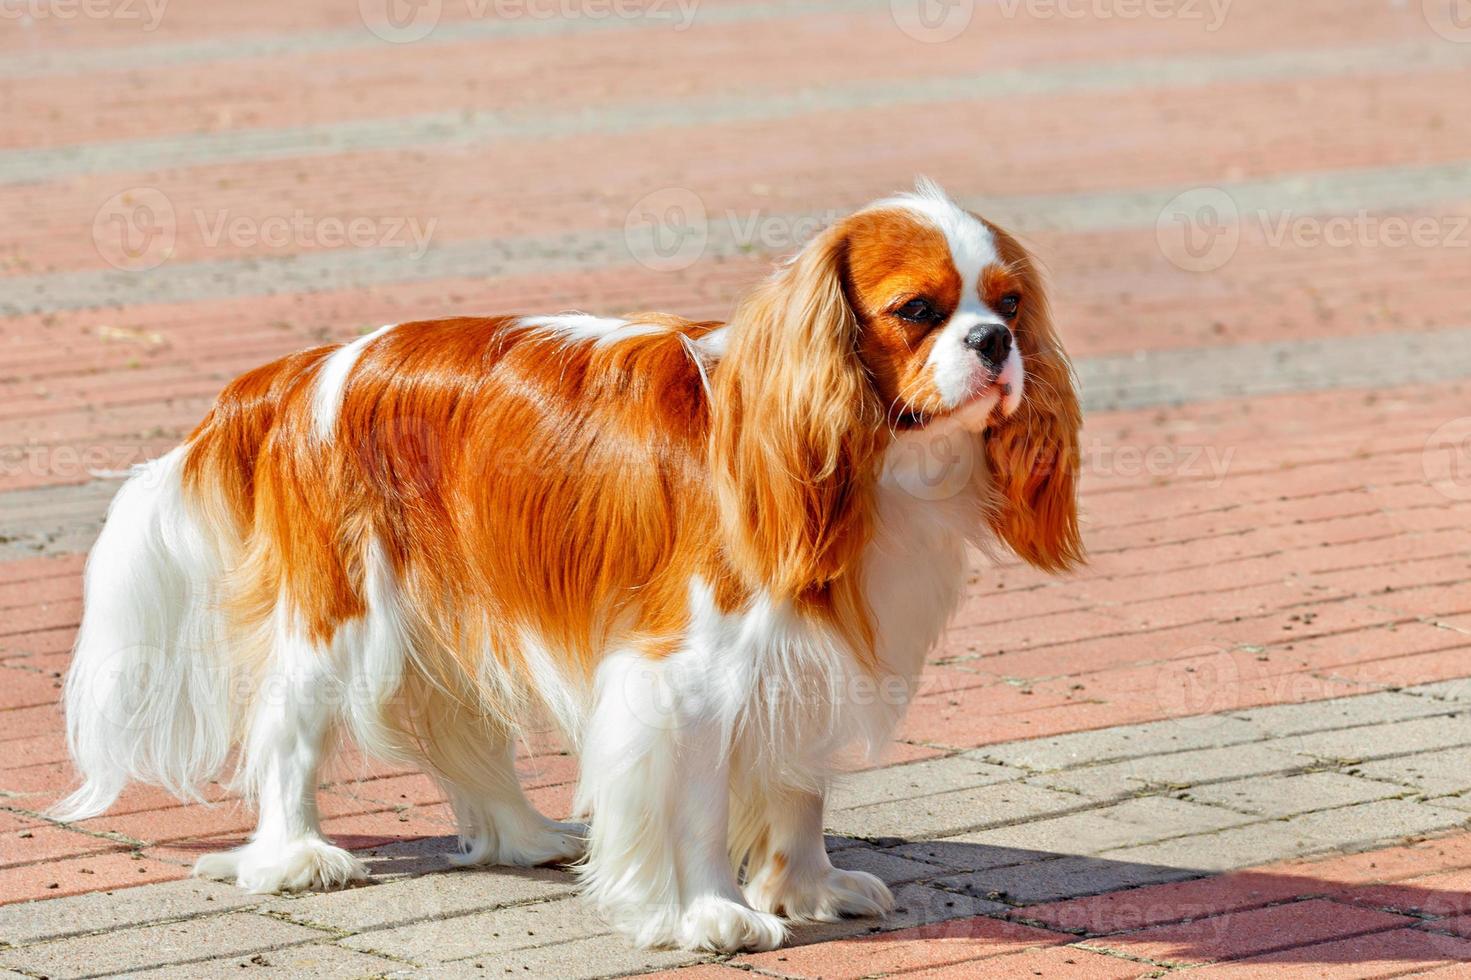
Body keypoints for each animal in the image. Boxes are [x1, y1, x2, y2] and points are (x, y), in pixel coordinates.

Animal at [54, 179, 1082, 947]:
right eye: (917, 311)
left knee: (457, 732)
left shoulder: (802, 656)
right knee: (287, 735)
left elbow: (797, 786)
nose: (993, 342)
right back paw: (295, 858)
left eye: (1010, 304)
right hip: (338, 616)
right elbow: (699, 804)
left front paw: (806, 888)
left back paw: (523, 838)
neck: (869, 463)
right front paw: (713, 914)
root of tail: (302, 371)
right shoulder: (687, 675)